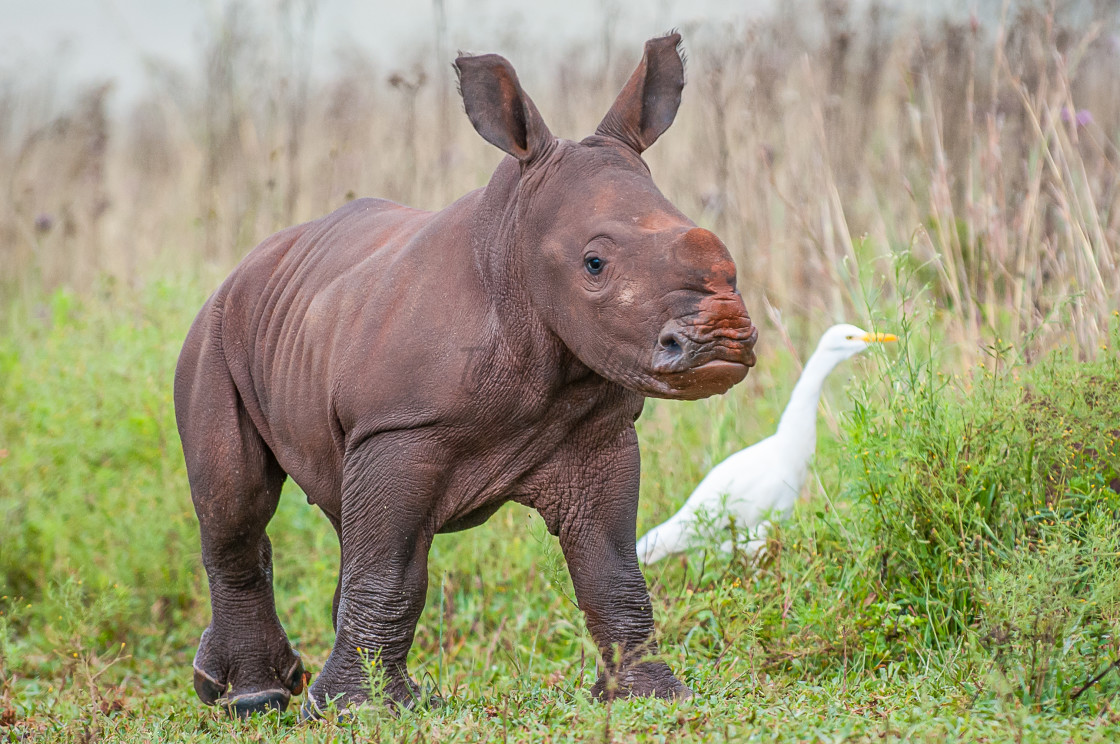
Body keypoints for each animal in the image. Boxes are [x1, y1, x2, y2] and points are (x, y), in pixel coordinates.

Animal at [176, 33, 752, 717]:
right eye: (594, 264)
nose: (722, 339)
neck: (513, 251)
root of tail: (243, 267)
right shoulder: (400, 427)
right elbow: (391, 572)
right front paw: (358, 710)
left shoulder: (600, 434)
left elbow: (612, 567)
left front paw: (651, 697)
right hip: (213, 333)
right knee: (237, 504)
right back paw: (255, 699)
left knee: (342, 517)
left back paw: (247, 687)